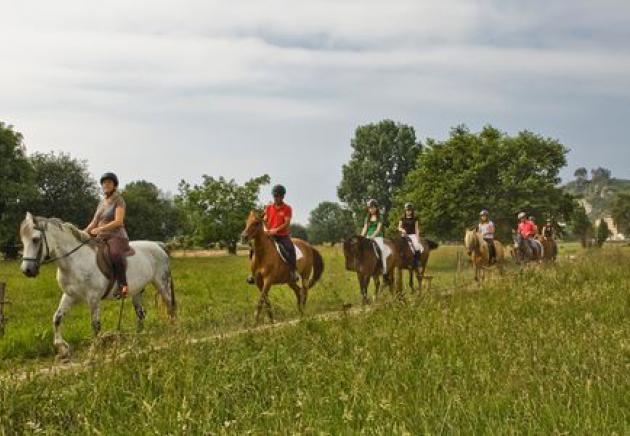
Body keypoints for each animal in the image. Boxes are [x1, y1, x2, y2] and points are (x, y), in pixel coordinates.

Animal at [19, 212, 177, 358]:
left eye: (35, 239)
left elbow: (95, 325)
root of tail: (159, 245)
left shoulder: (93, 298)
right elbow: (57, 318)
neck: (75, 261)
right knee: (141, 314)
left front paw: (93, 353)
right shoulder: (69, 295)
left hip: (162, 284)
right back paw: (136, 342)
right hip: (136, 291)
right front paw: (62, 348)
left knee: (170, 308)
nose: (27, 270)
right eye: (23, 240)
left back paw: (172, 335)